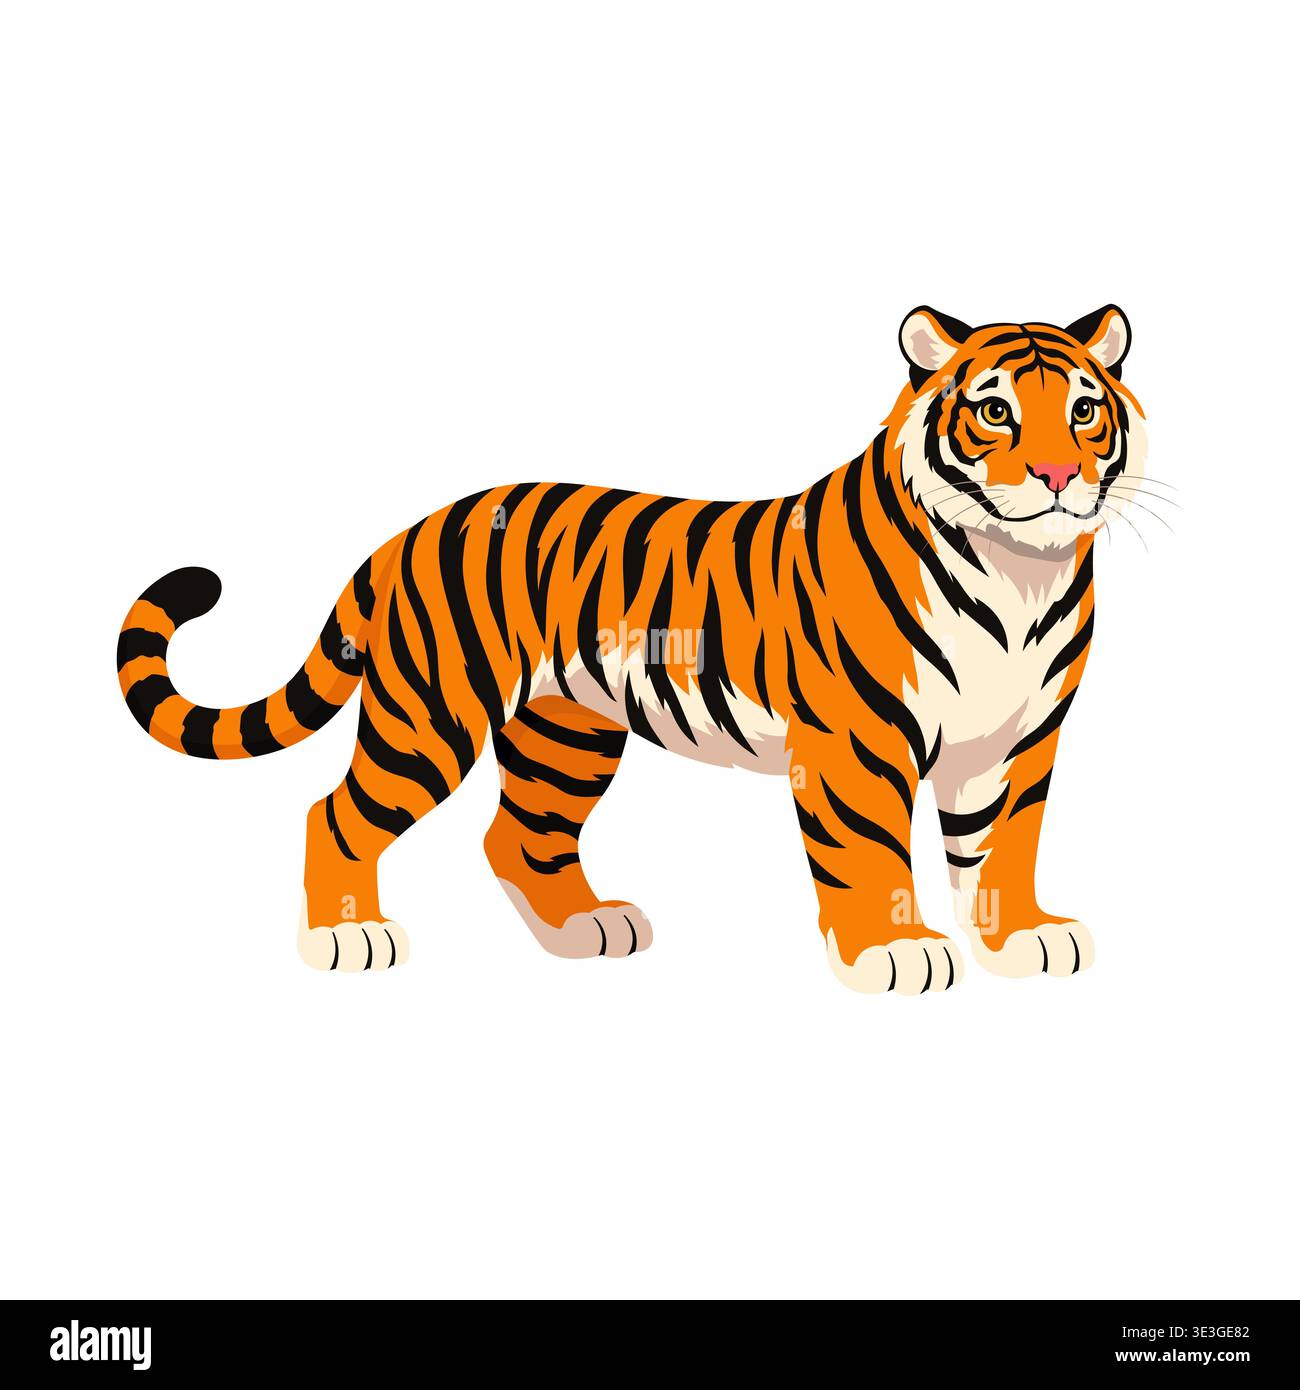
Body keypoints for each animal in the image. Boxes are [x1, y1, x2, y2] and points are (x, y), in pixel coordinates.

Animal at [117, 305, 1146, 993]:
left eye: (1084, 412)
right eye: (995, 412)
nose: (1058, 473)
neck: (1019, 573)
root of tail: (409, 530)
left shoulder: (1020, 740)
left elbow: (1005, 847)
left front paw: (1021, 939)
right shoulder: (858, 739)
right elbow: (868, 852)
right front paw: (892, 952)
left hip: (563, 732)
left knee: (518, 835)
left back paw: (587, 930)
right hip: (428, 714)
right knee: (334, 814)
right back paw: (349, 939)